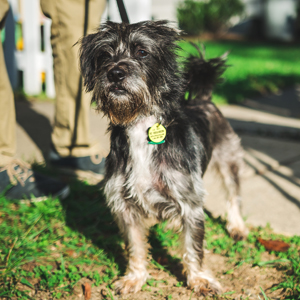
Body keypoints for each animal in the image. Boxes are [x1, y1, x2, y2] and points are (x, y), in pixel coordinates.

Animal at [78, 20, 247, 296]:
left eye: (142, 52)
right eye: (104, 55)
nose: (115, 73)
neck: (139, 124)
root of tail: (203, 98)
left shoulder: (189, 202)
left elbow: (193, 247)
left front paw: (199, 279)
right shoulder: (125, 206)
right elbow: (135, 246)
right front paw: (134, 277)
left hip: (229, 159)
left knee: (233, 195)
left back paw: (237, 227)